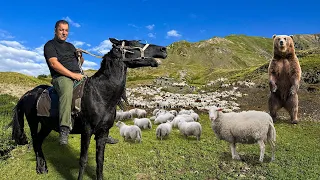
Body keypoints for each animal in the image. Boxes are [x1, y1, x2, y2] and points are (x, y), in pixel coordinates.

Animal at [11, 37, 168, 179]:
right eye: (134, 43)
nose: (163, 49)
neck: (100, 94)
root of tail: (28, 94)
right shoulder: (86, 131)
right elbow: (83, 160)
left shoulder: (103, 132)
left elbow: (100, 161)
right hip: (33, 122)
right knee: (35, 141)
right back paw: (40, 168)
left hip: (47, 125)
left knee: (39, 140)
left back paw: (43, 166)